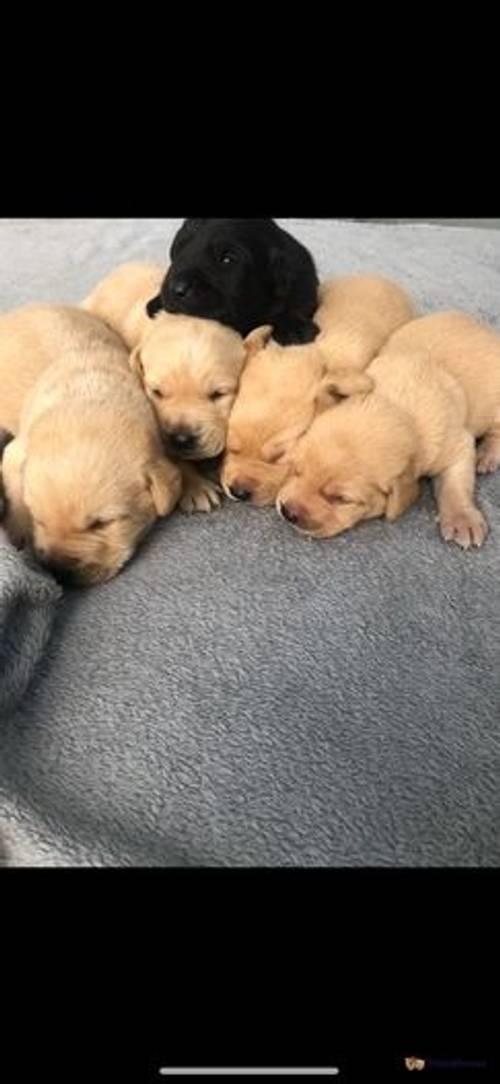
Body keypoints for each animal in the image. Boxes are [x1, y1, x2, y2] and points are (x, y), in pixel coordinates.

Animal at [1, 310, 181, 585]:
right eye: (39, 519)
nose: (58, 572)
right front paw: (18, 533)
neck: (87, 400)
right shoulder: (16, 453)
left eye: (101, 523)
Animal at [274, 312, 498, 550]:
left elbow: (455, 485)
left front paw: (462, 519)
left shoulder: (456, 445)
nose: (288, 512)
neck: (398, 406)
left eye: (341, 499)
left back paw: (487, 455)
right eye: (297, 471)